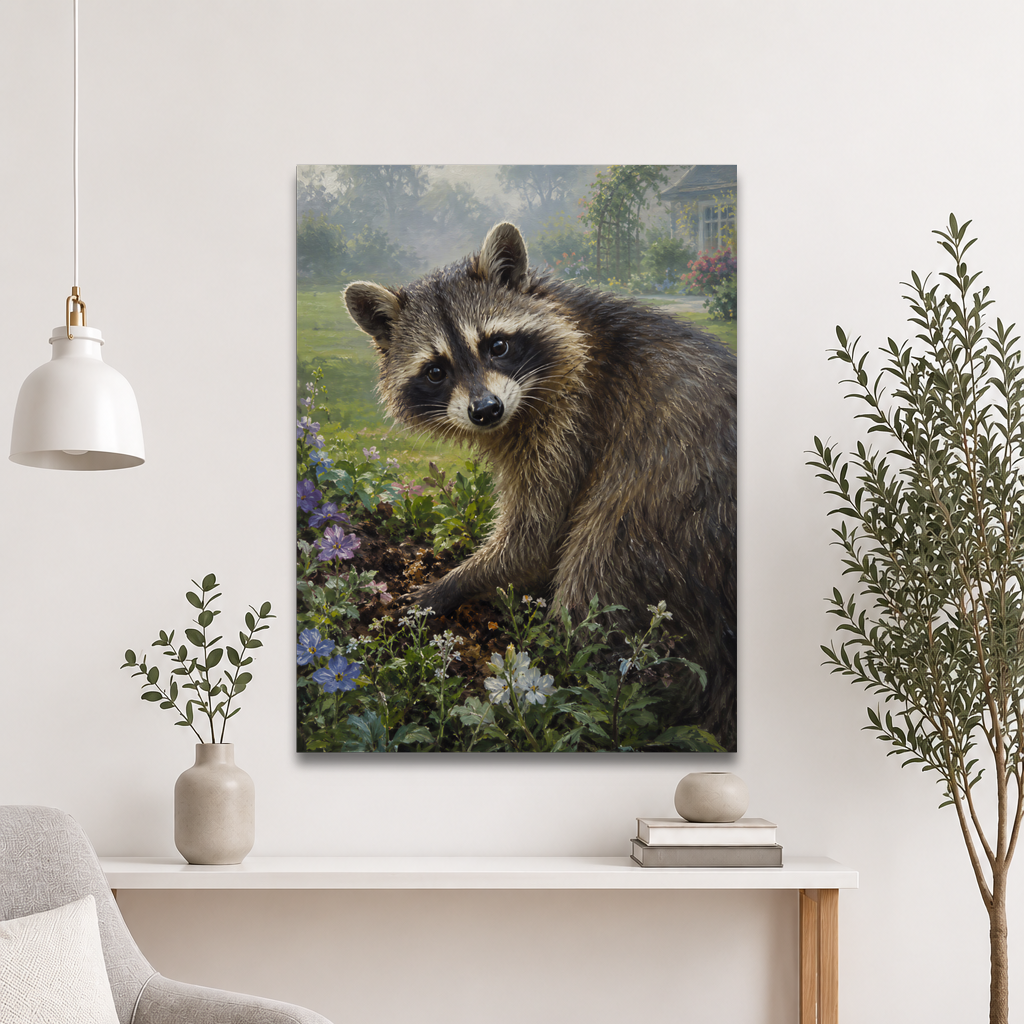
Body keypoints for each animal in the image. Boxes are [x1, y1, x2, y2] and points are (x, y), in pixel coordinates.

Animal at [344, 222, 737, 746]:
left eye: (497, 345)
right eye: (436, 370)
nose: (486, 410)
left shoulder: (574, 420)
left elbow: (535, 538)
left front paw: (454, 583)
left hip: (665, 517)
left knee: (597, 574)